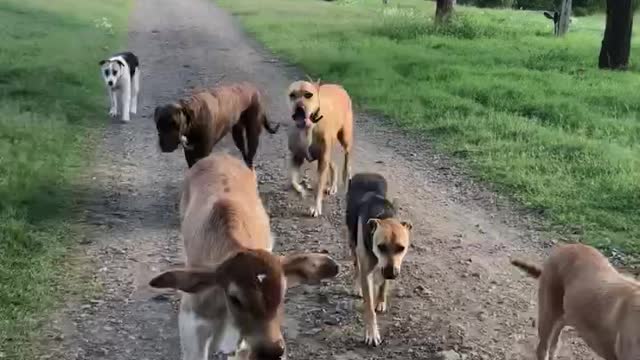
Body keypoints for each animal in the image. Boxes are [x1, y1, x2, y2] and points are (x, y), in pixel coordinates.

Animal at [286, 78, 352, 217]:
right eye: (292, 95)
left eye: (308, 95)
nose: (299, 108)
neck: (308, 128)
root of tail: (339, 86)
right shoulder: (296, 157)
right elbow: (293, 180)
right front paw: (301, 190)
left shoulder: (322, 162)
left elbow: (319, 187)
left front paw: (316, 207)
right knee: (334, 165)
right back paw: (332, 186)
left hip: (346, 138)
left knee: (347, 158)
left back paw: (345, 177)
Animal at [344, 173, 410, 348]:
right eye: (380, 246)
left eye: (401, 248)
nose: (391, 273)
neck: (383, 214)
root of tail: (366, 174)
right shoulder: (368, 272)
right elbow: (369, 308)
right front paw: (372, 333)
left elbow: (384, 285)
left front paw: (381, 300)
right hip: (352, 242)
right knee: (356, 265)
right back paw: (356, 285)